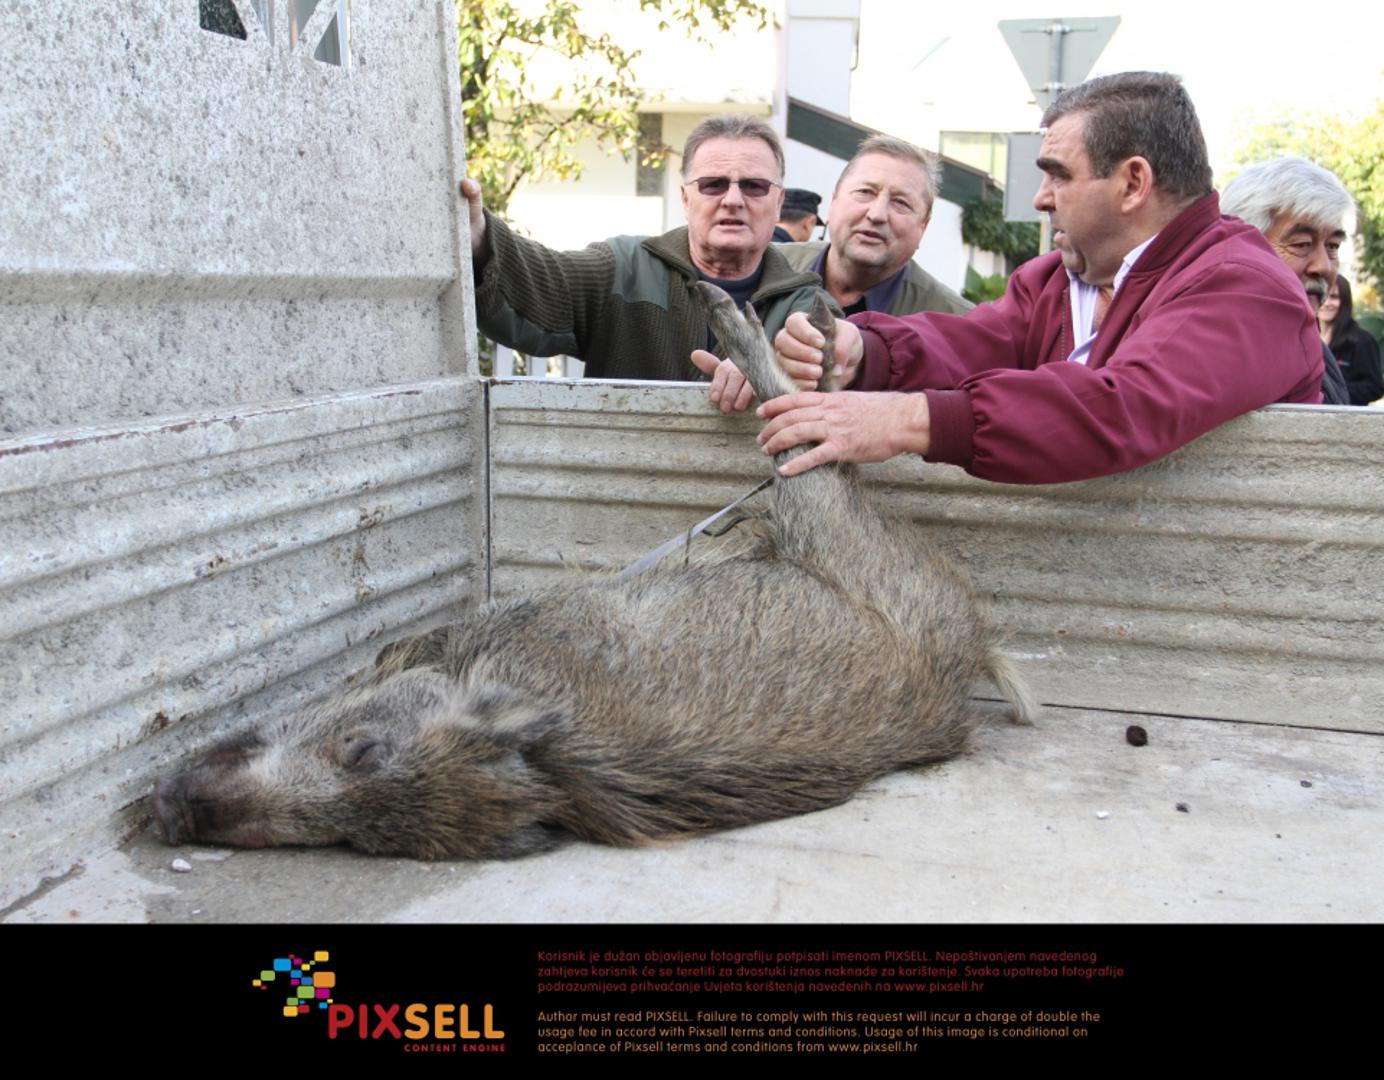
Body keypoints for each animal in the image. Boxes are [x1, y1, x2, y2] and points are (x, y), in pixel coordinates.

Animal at [155, 286, 1033, 859]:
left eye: (363, 753)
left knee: (800, 426)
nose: (170, 803)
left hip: (819, 505)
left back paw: (748, 315)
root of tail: (971, 648)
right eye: (355, 840)